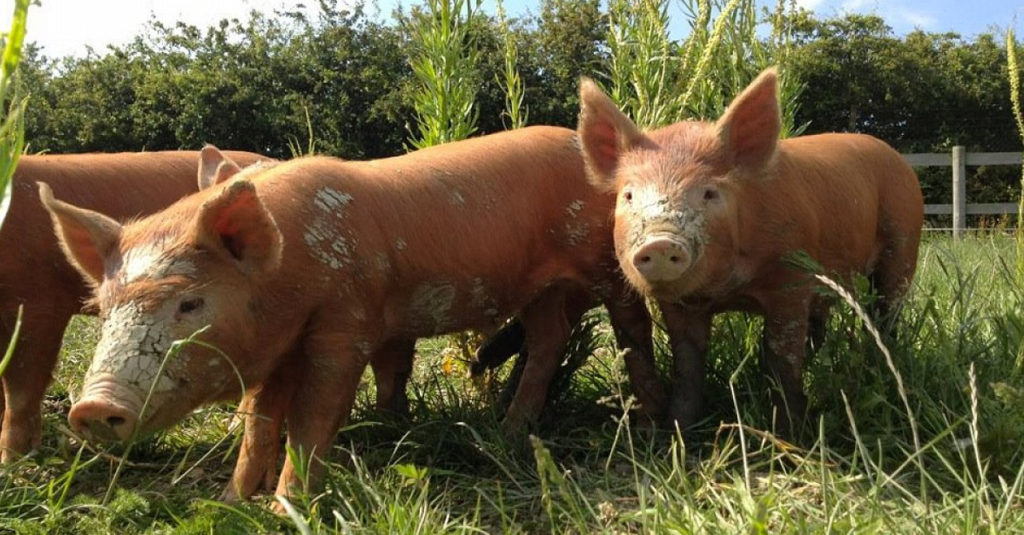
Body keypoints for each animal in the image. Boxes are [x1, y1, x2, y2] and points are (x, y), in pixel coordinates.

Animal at [40, 127, 668, 501]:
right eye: (104, 310)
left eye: (189, 303)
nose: (91, 407)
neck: (293, 269)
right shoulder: (277, 345)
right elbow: (261, 421)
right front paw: (232, 500)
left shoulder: (346, 324)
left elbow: (316, 414)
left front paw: (285, 507)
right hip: (539, 288)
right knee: (549, 339)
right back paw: (508, 430)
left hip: (604, 259)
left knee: (631, 323)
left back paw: (648, 424)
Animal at [576, 68, 923, 435]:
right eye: (629, 195)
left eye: (710, 193)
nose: (659, 241)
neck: (730, 291)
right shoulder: (680, 304)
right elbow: (687, 361)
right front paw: (677, 429)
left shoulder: (791, 280)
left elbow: (781, 354)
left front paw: (786, 433)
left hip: (904, 244)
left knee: (886, 314)